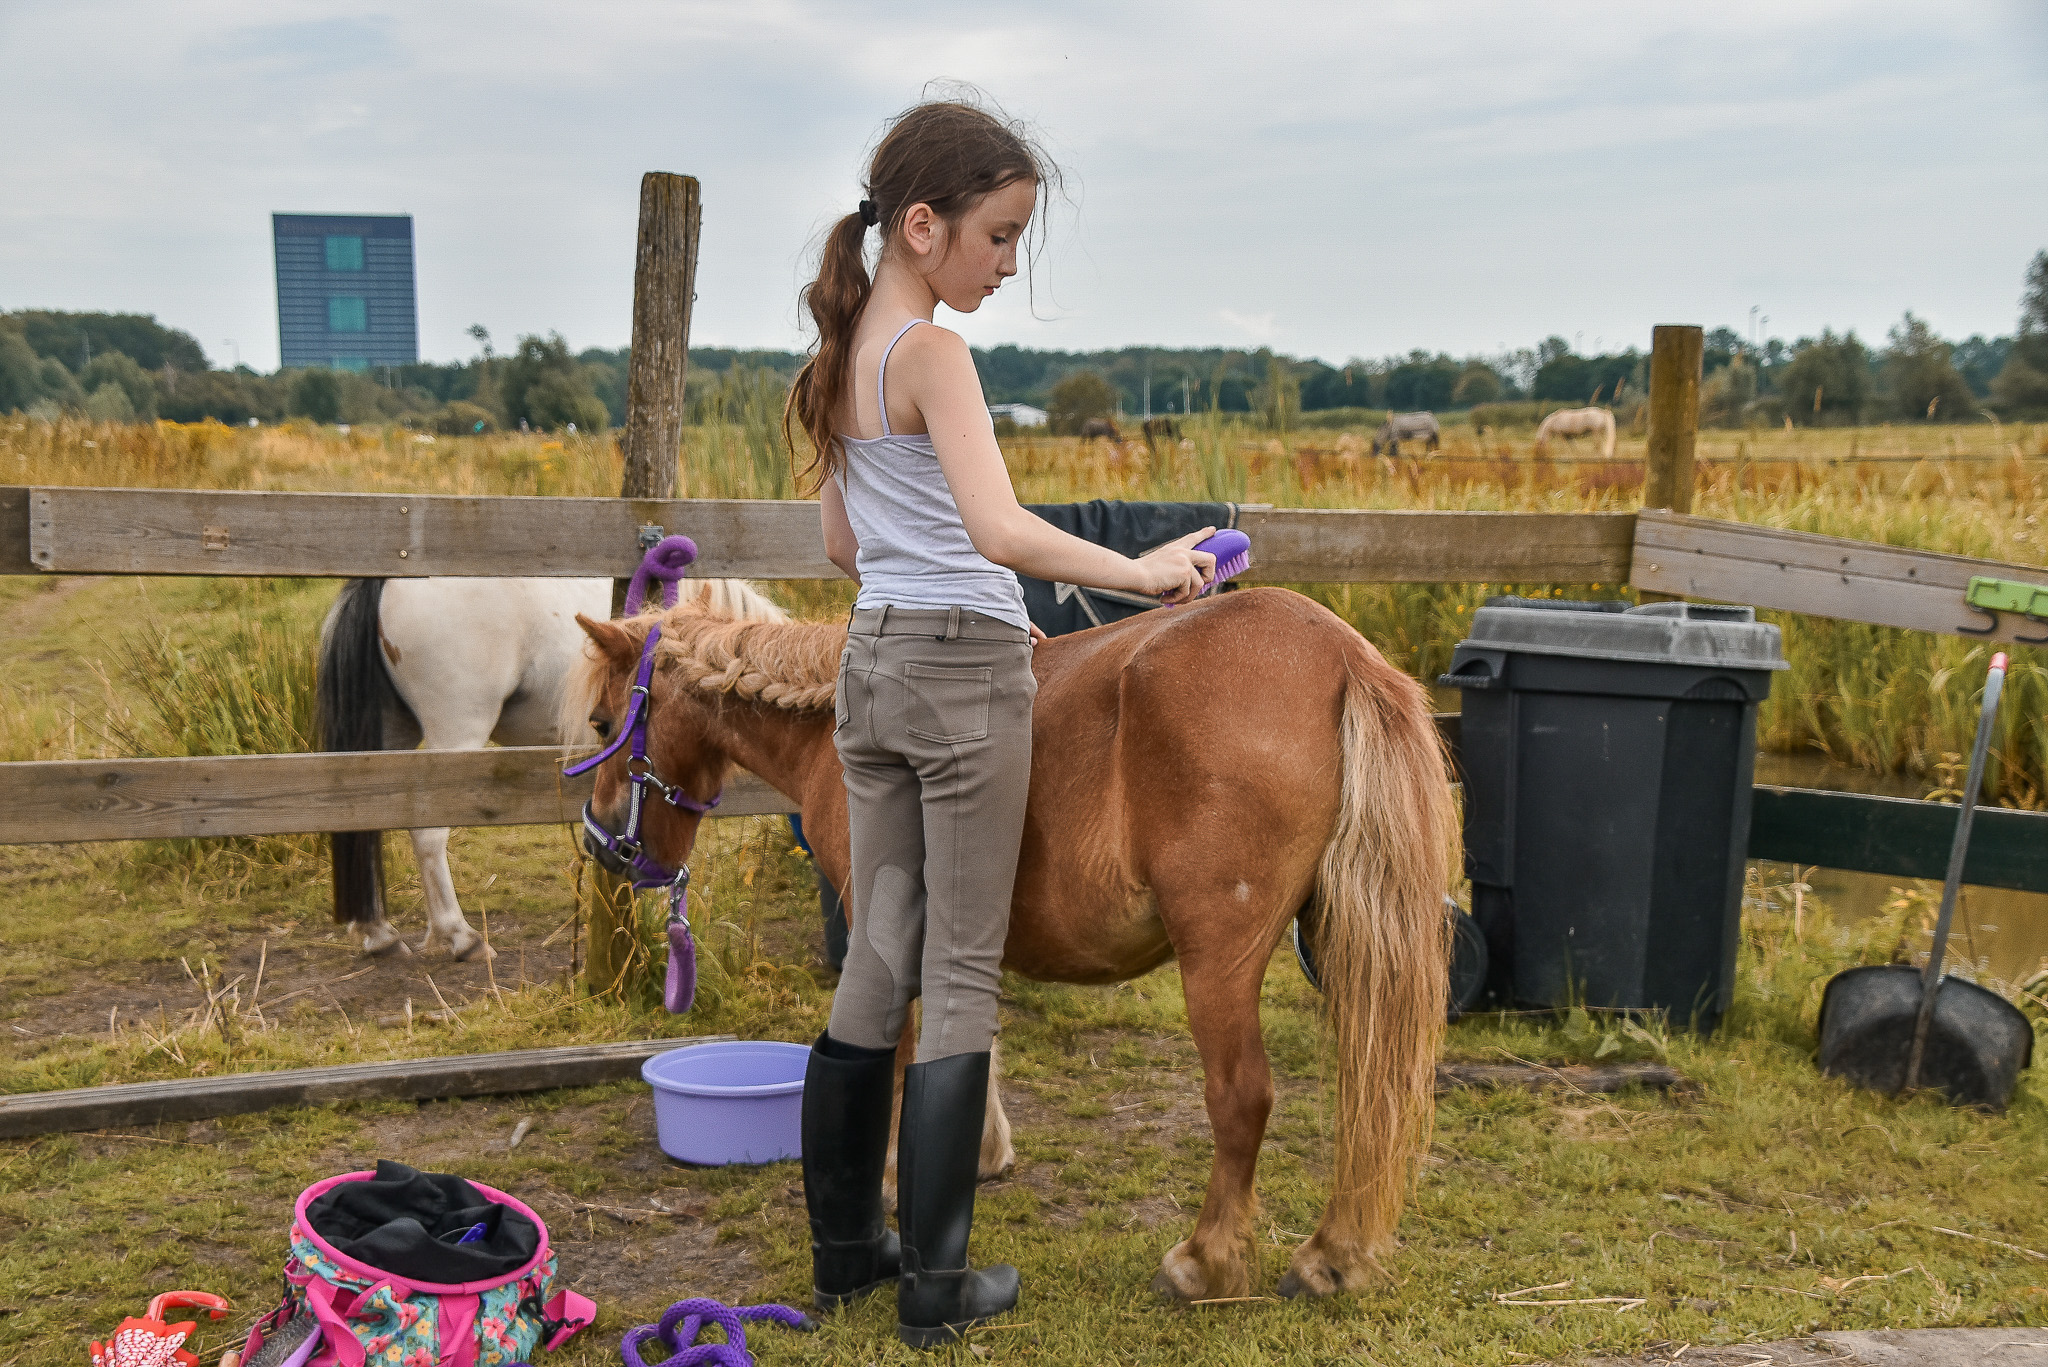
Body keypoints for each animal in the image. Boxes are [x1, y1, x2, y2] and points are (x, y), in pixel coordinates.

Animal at [317, 577, 782, 963]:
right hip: (453, 739)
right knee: (427, 833)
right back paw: (460, 936)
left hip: (386, 741)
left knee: (364, 823)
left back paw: (378, 932)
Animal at [561, 590, 1458, 1303]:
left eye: (605, 723)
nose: (605, 845)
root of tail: (1340, 653)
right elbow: (973, 1040)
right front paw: (980, 1155)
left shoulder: (885, 932)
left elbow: (901, 1054)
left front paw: (897, 1176)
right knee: (1370, 1091)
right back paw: (1333, 1255)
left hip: (1220, 960)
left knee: (1243, 1097)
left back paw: (1204, 1261)